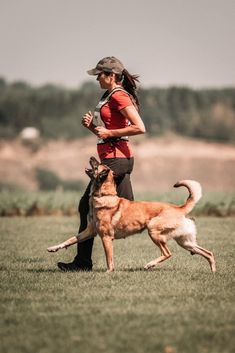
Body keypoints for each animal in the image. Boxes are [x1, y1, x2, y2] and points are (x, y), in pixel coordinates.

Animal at [47, 156, 217, 272]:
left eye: (98, 165)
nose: (93, 157)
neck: (104, 195)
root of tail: (178, 208)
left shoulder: (106, 238)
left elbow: (109, 259)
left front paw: (109, 273)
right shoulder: (89, 231)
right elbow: (70, 240)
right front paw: (53, 248)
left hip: (153, 230)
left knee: (168, 253)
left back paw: (149, 264)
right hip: (185, 242)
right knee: (208, 253)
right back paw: (213, 271)